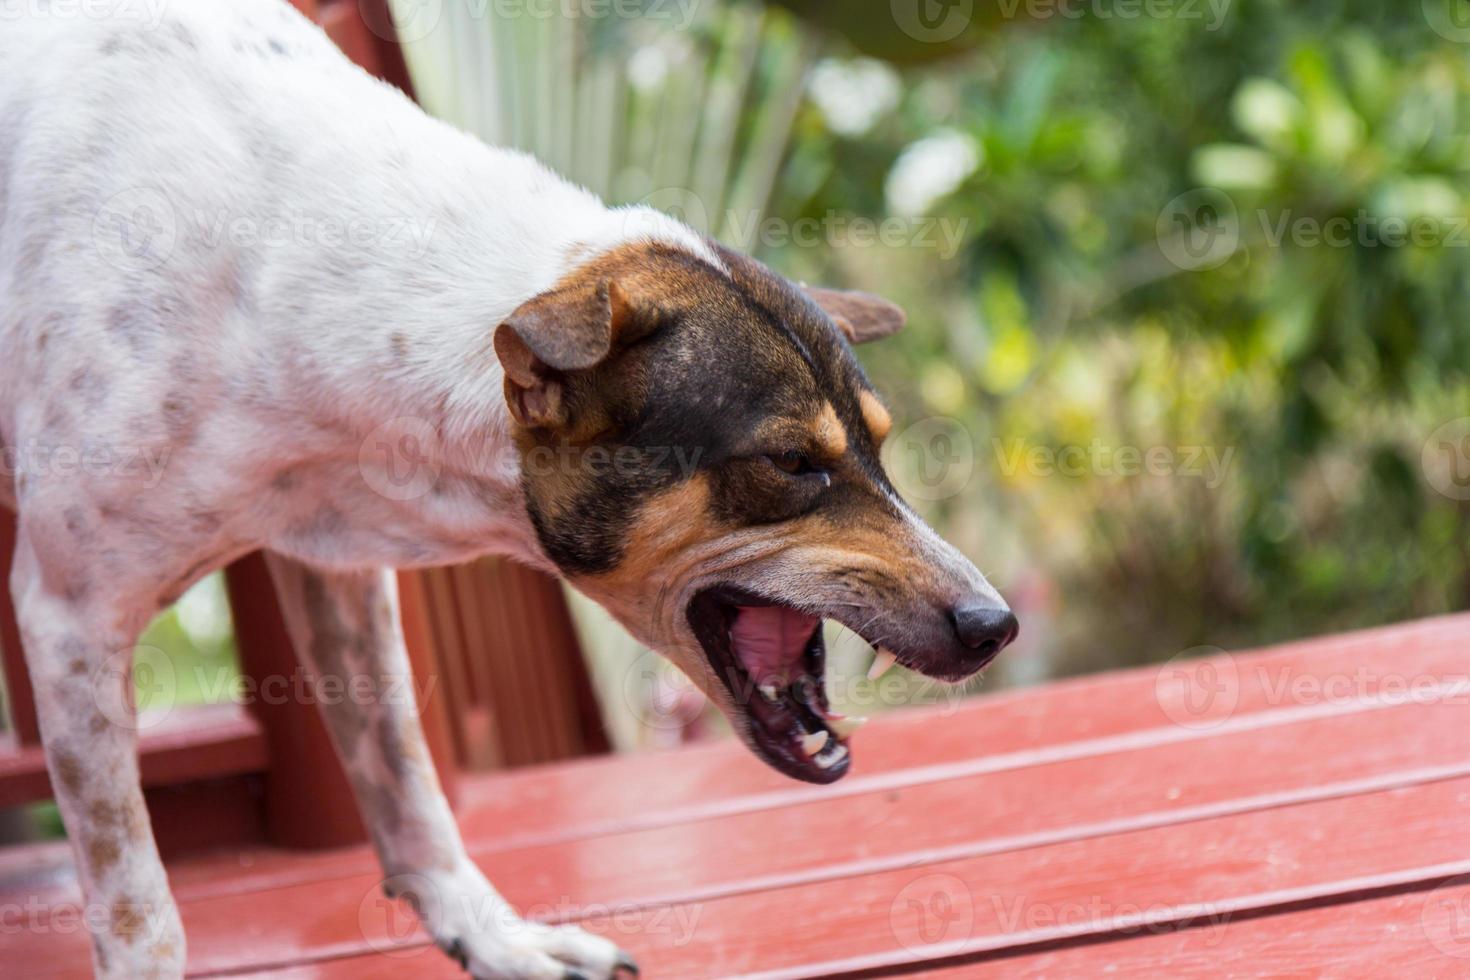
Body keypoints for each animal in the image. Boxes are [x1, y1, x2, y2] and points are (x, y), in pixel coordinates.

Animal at [0, 1, 1017, 980]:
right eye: (793, 464)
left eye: (880, 447)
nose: (994, 625)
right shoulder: (68, 619)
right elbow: (142, 915)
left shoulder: (337, 573)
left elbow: (407, 778)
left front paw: (491, 938)